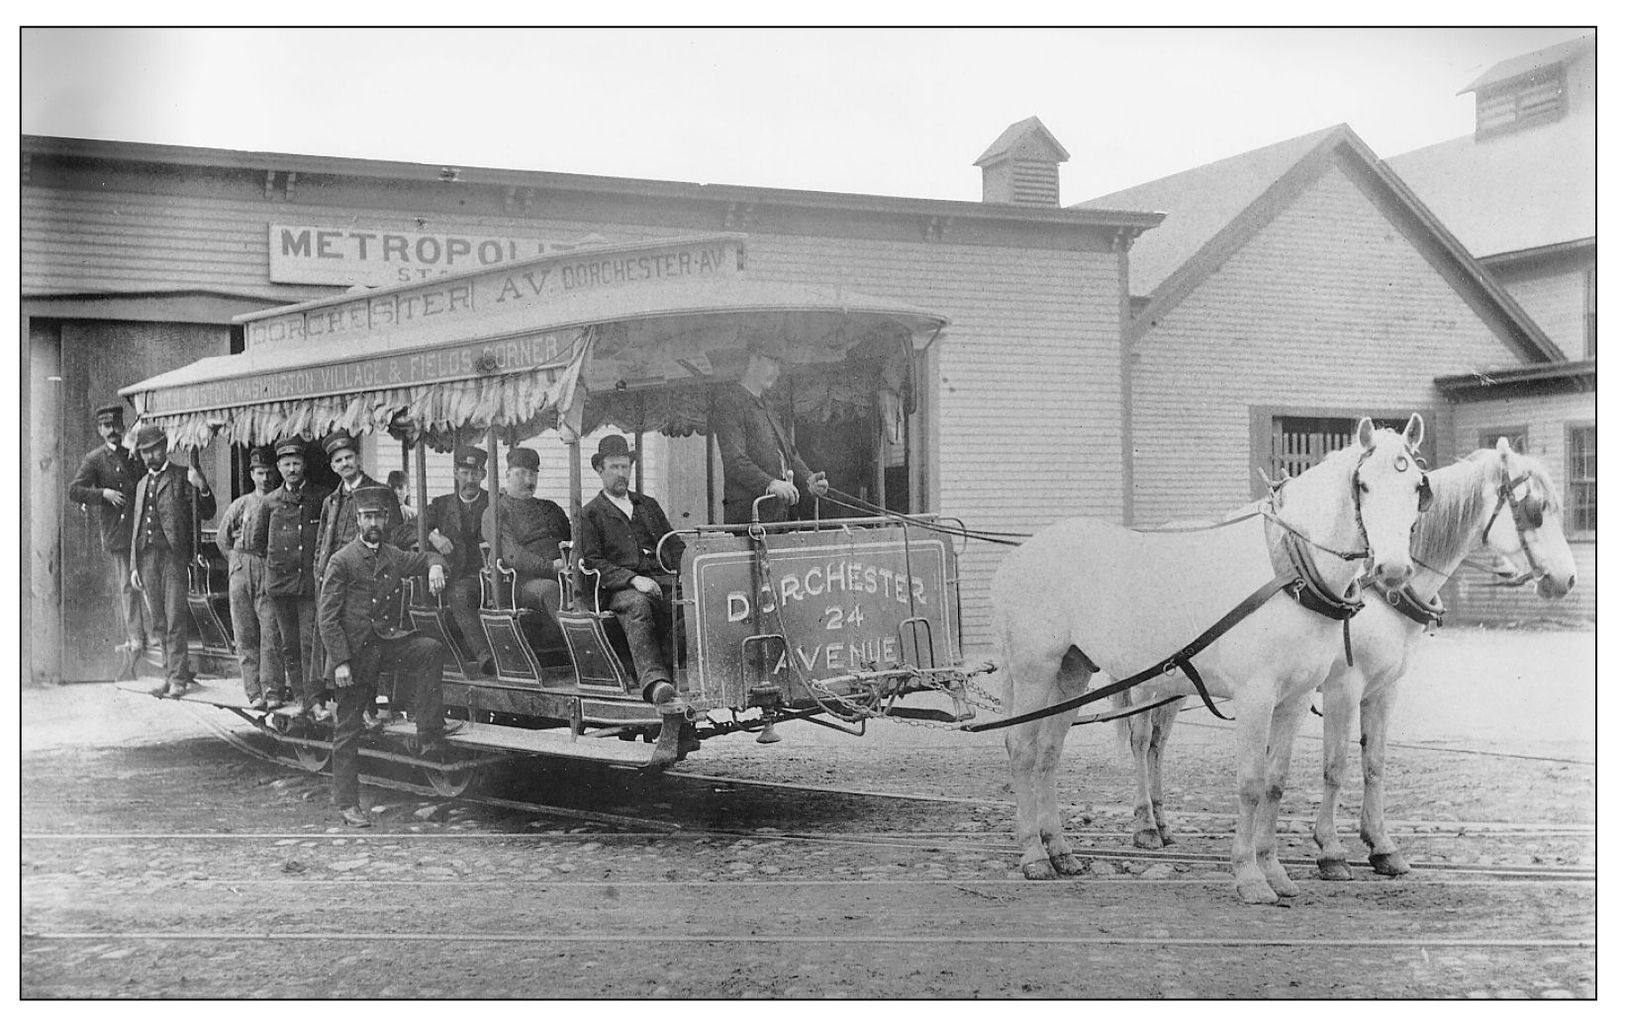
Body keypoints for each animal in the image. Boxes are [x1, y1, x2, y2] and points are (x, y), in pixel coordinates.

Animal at [982, 416, 1430, 911]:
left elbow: (1275, 782)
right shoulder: (1256, 696)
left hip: (1072, 672)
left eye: (1417, 484)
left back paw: (1060, 850)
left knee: (1048, 753)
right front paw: (1249, 875)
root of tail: (1018, 556)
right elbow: (1251, 782)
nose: (1393, 569)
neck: (1287, 570)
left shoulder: (1293, 699)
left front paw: (1275, 872)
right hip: (1035, 670)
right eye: (1364, 485)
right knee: (1022, 751)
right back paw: (1033, 854)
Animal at [1118, 439, 1573, 885]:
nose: (1566, 579)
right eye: (1536, 511)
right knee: (1140, 741)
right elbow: (1335, 766)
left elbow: (1374, 764)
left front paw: (1382, 845)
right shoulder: (1343, 686)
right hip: (1144, 679)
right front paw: (1331, 851)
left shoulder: (1383, 690)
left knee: (1159, 743)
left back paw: (1162, 822)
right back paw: (1145, 825)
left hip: (1177, 681)